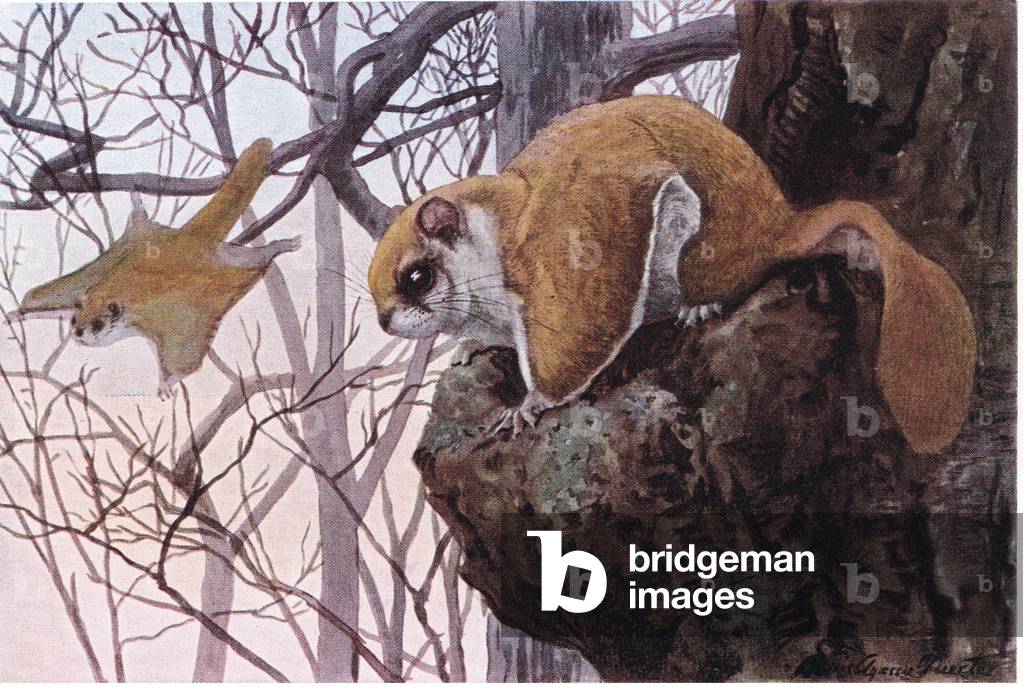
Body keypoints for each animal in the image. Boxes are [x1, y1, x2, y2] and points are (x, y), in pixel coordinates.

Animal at [18, 138, 299, 396]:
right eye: (75, 319)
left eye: (97, 324)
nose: (77, 333)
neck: (117, 296)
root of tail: (188, 238)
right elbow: (36, 300)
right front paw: (17, 314)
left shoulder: (174, 322)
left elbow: (183, 360)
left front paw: (166, 384)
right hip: (138, 240)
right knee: (140, 223)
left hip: (226, 274)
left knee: (258, 262)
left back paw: (279, 246)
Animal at [368, 95, 975, 453]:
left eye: (417, 278)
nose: (384, 322)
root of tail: (780, 225)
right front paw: (470, 346)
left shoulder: (567, 251)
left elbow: (576, 336)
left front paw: (529, 405)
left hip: (695, 250)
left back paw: (696, 305)